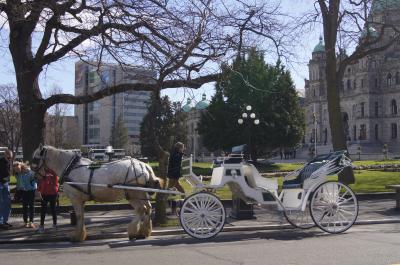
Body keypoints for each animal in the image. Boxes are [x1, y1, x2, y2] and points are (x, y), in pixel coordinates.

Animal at [31, 144, 162, 241]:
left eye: (36, 158)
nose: (34, 176)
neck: (70, 167)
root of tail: (143, 165)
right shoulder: (80, 200)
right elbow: (82, 216)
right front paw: (81, 234)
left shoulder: (75, 198)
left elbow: (79, 216)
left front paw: (77, 236)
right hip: (138, 194)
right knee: (148, 208)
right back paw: (144, 231)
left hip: (134, 193)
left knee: (141, 209)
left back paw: (132, 231)